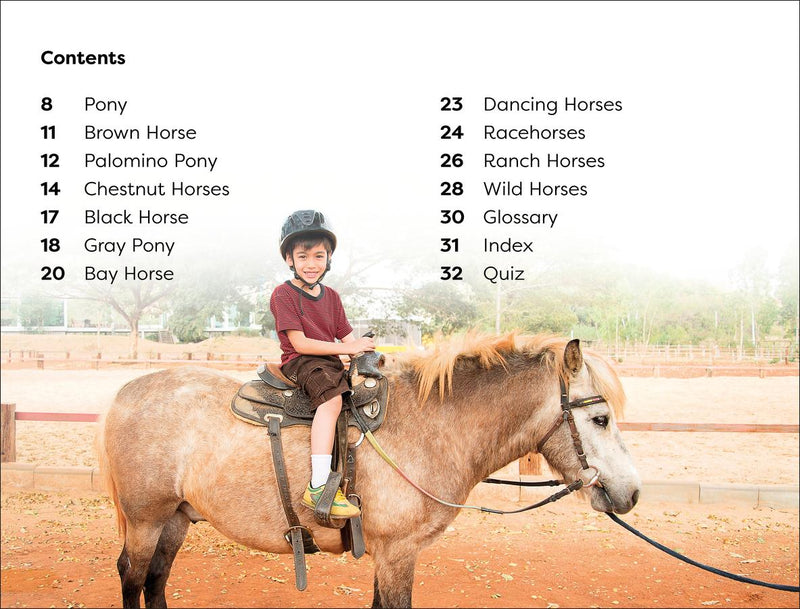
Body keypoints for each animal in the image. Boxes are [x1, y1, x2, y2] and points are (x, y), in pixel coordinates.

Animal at [97, 333, 641, 608]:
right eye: (601, 418)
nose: (631, 493)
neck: (434, 425)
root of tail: (124, 392)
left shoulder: (389, 554)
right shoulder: (399, 552)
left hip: (176, 518)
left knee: (155, 582)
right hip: (146, 519)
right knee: (132, 576)